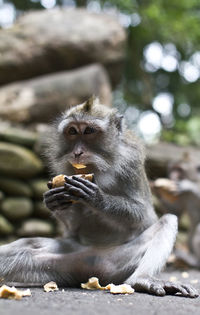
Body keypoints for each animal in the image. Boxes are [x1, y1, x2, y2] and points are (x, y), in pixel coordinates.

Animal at [0, 99, 198, 298]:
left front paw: (98, 199)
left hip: (123, 263)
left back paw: (142, 279)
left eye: (89, 131)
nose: (77, 152)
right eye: (72, 131)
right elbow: (72, 227)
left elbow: (143, 216)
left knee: (167, 221)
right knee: (29, 244)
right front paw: (53, 201)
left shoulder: (131, 162)